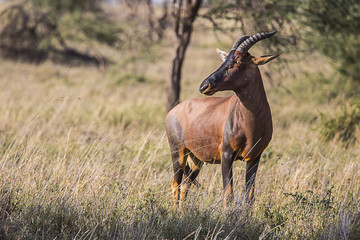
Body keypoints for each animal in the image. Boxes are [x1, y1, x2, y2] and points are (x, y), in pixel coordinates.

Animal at [166, 30, 282, 208]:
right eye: (225, 60)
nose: (204, 86)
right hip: (177, 152)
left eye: (238, 61)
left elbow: (249, 196)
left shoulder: (255, 157)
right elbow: (228, 195)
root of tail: (173, 110)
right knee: (175, 185)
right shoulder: (226, 155)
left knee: (185, 185)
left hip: (196, 159)